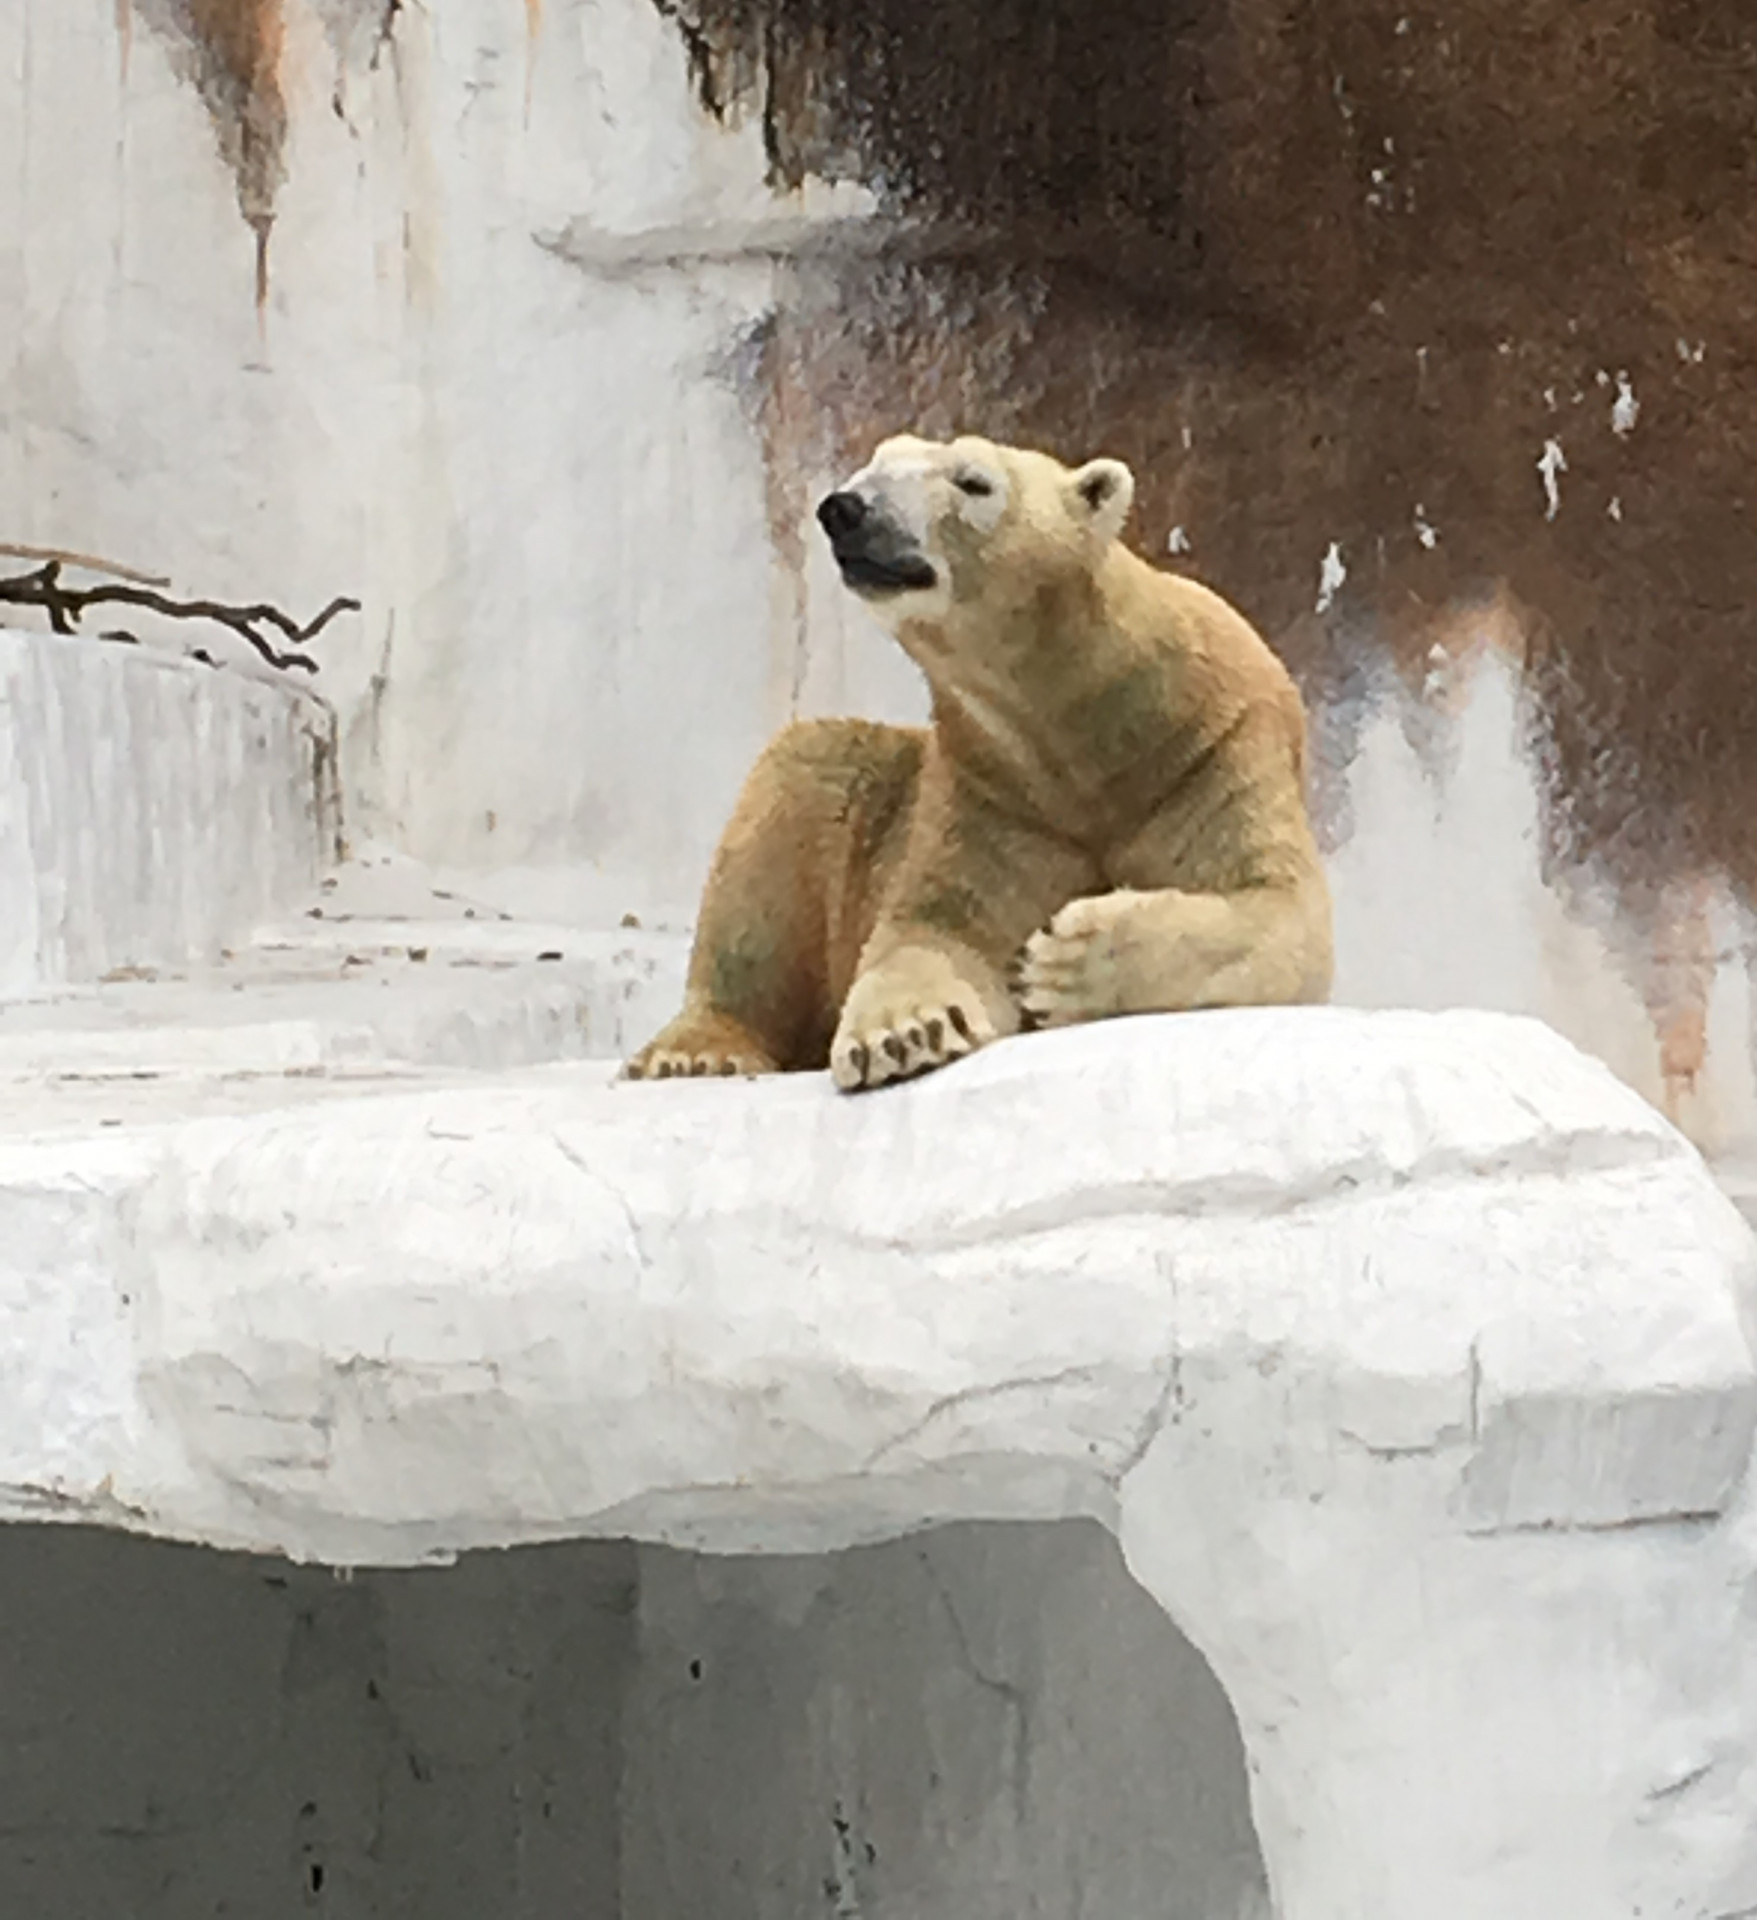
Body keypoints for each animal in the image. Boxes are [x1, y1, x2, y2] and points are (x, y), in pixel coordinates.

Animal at [625, 437, 1328, 1098]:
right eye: (876, 460)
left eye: (973, 481)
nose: (846, 510)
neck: (1087, 729)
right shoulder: (990, 791)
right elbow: (936, 926)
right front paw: (905, 1033)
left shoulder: (1214, 750)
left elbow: (1279, 909)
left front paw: (1062, 960)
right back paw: (695, 1052)